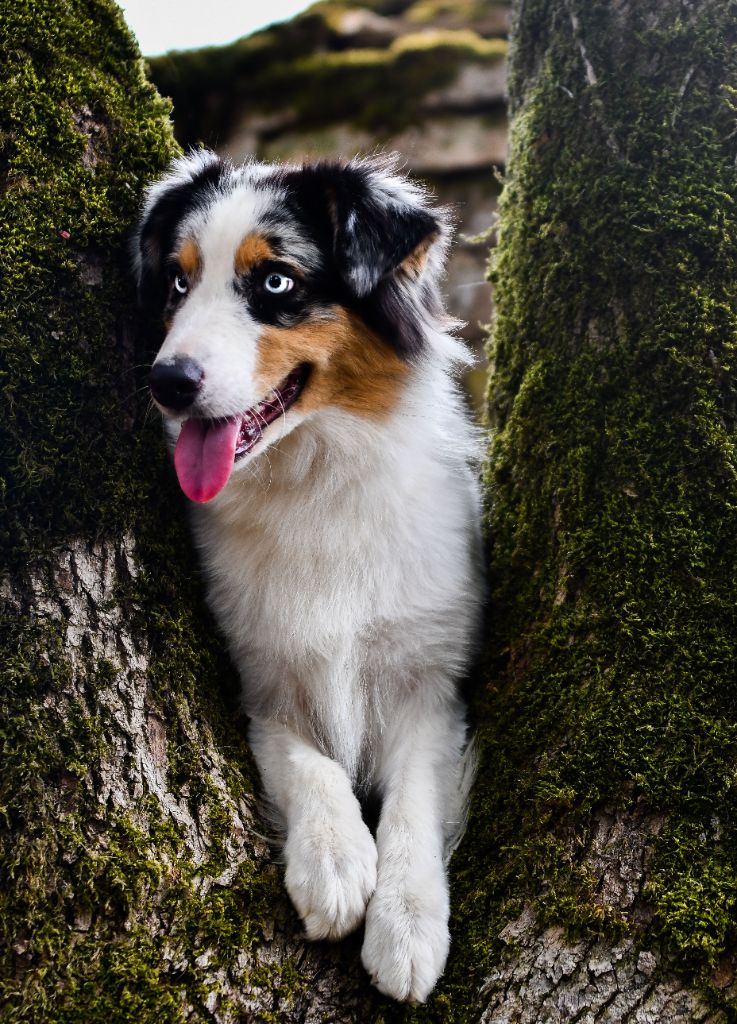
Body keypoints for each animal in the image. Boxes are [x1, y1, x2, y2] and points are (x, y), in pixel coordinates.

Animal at [134, 151, 483, 999]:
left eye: (275, 281)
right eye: (177, 284)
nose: (167, 382)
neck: (314, 479)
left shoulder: (431, 683)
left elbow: (413, 803)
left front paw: (407, 925)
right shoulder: (257, 680)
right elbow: (309, 762)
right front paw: (333, 863)